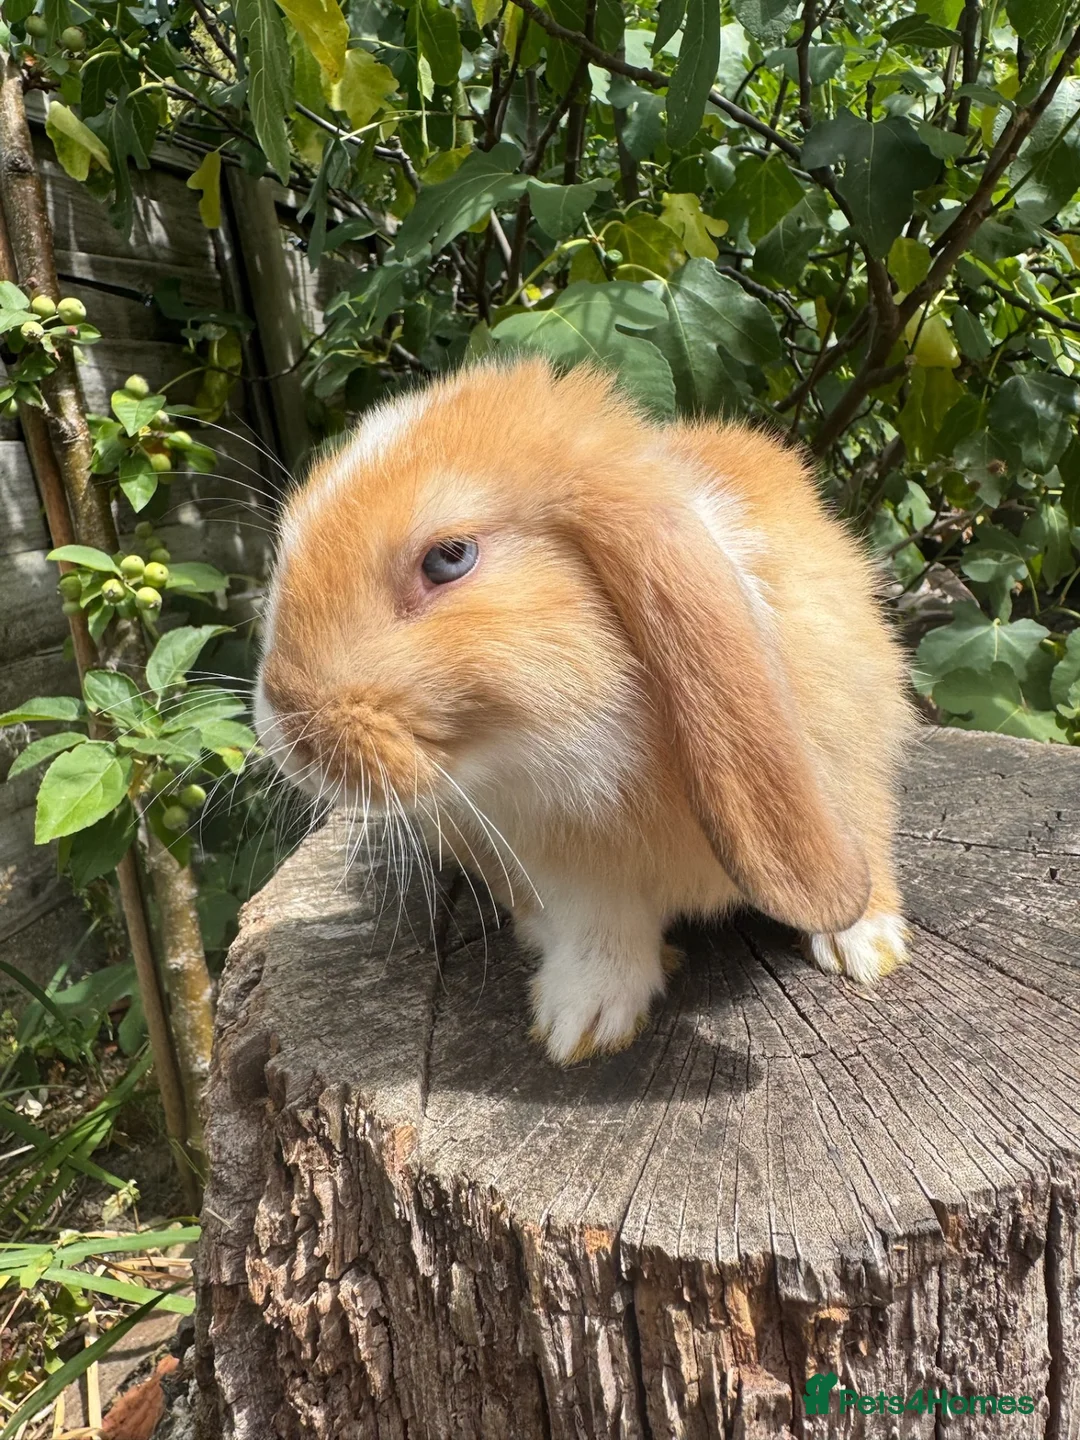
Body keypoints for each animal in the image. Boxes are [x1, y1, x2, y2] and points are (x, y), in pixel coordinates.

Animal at [254, 357, 912, 1065]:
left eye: (449, 558)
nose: (288, 728)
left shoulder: (852, 762)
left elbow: (868, 838)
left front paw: (864, 946)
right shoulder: (559, 864)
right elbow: (600, 928)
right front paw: (583, 1024)